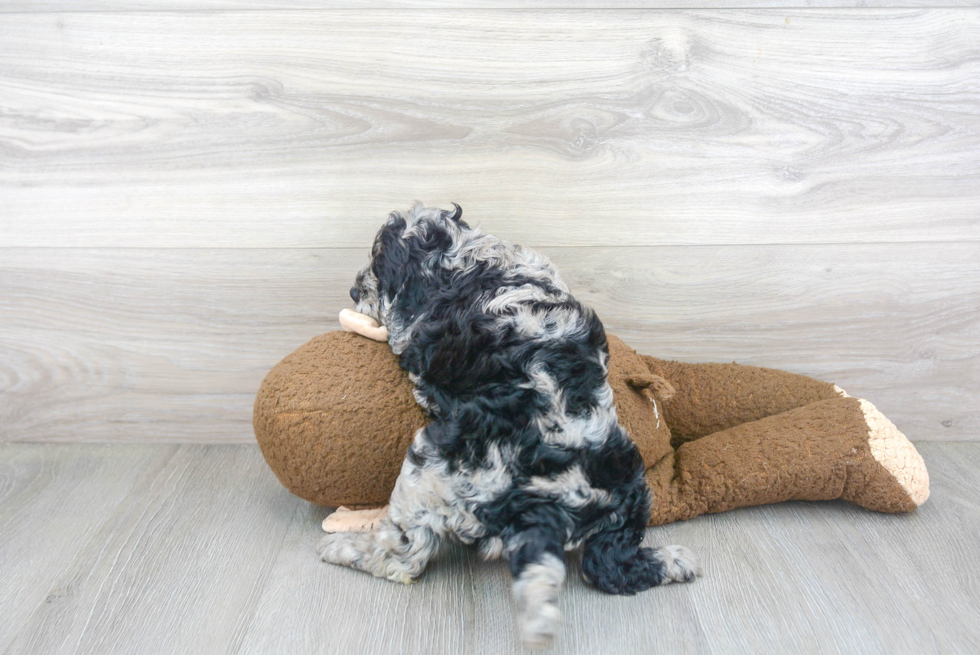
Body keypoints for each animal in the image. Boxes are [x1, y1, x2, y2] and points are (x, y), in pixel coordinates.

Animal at [318, 205, 700, 652]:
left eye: (378, 265)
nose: (352, 291)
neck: (463, 257)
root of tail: (546, 504)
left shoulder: (410, 327)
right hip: (631, 494)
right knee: (610, 567)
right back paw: (674, 561)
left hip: (430, 467)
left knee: (404, 557)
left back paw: (343, 547)